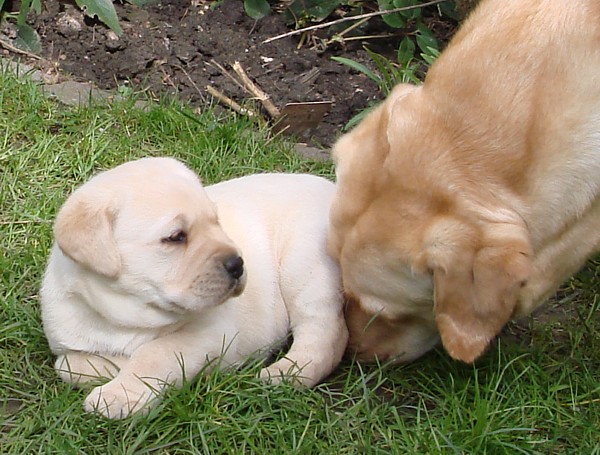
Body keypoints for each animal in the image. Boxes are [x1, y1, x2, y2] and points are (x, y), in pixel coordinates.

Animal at [42, 158, 346, 420]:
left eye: (216, 221)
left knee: (325, 333)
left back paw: (286, 373)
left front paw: (118, 394)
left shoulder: (209, 332)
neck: (126, 314)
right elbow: (68, 364)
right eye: (176, 237)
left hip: (305, 264)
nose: (238, 264)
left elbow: (155, 353)